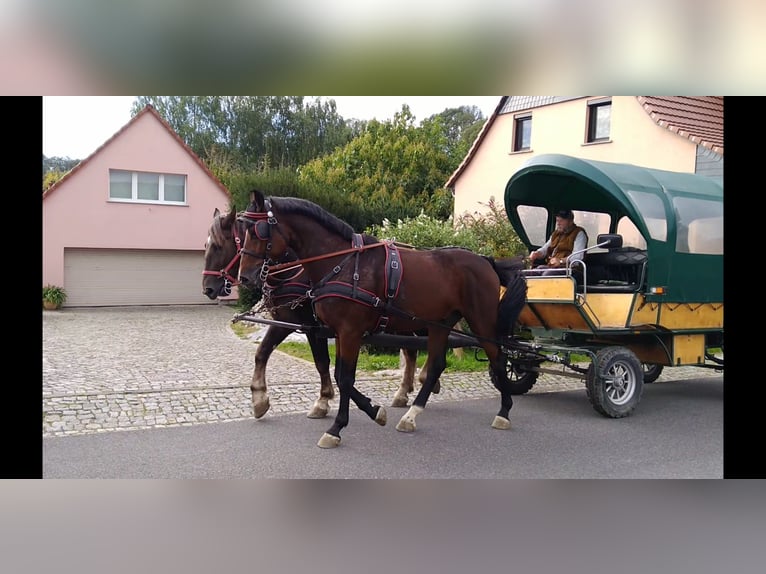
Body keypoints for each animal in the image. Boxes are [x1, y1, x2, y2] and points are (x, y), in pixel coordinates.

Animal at [201, 209, 428, 420]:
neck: (294, 272)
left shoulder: (303, 324)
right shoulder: (299, 324)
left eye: (219, 246)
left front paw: (322, 400)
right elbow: (266, 353)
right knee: (411, 350)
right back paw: (405, 391)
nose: (207, 288)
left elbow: (318, 362)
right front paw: (262, 399)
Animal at [238, 190, 528, 450]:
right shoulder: (337, 331)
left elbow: (345, 378)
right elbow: (338, 374)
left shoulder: (350, 332)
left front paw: (336, 428)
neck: (343, 264)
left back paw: (504, 411)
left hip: (481, 320)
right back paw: (411, 415)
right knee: (436, 365)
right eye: (242, 233)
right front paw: (374, 410)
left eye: (259, 231)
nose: (245, 277)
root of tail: (485, 260)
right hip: (440, 323)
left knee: (497, 357)